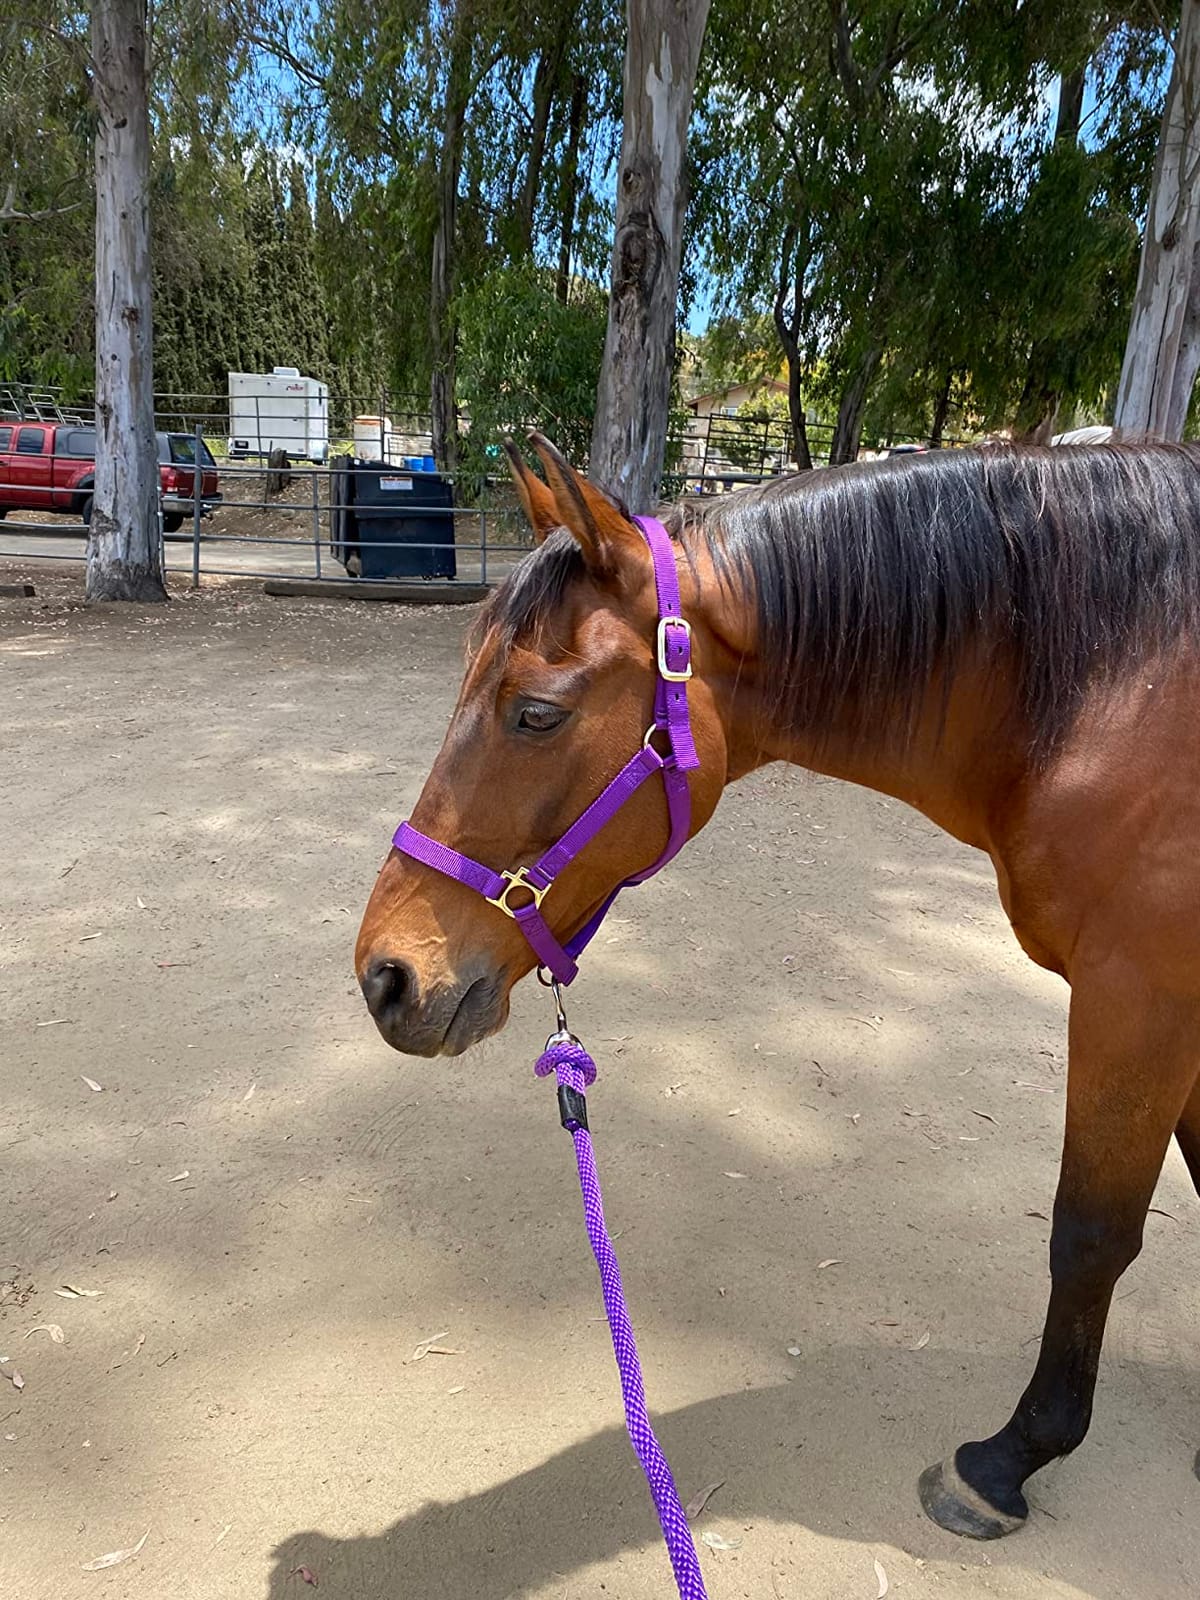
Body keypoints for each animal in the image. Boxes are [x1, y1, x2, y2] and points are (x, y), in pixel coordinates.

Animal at [356, 431, 1200, 1542]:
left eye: (537, 712)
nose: (386, 975)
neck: (1116, 695)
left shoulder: (1138, 1001)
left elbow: (1090, 1233)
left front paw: (1010, 1457)